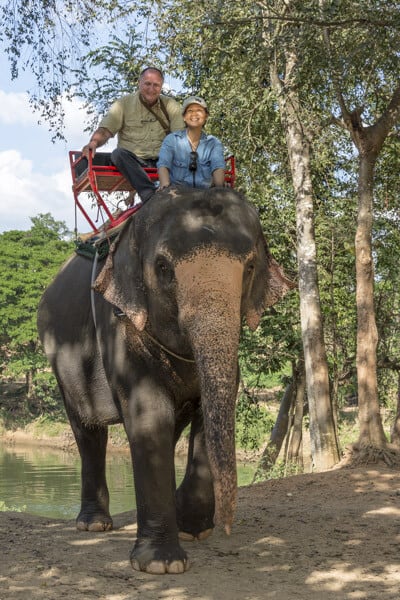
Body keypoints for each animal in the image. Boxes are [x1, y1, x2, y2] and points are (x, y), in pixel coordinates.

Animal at [37, 186, 294, 572]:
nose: (227, 527)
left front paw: (192, 529)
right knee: (88, 431)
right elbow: (150, 415)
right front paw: (161, 564)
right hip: (61, 360)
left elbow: (208, 409)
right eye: (162, 268)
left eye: (250, 267)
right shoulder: (119, 323)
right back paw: (94, 525)